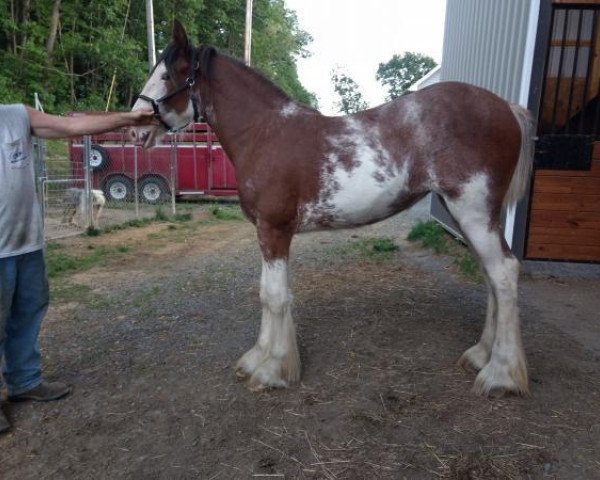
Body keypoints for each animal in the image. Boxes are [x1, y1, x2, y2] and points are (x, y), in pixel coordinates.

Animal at [130, 21, 536, 398]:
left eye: (167, 74)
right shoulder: (267, 232)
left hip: (473, 212)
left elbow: (274, 296)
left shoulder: (274, 230)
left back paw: (500, 374)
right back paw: (481, 355)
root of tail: (507, 107)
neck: (265, 133)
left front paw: (272, 370)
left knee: (503, 273)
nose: (135, 130)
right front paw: (258, 358)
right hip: (469, 215)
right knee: (491, 275)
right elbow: (266, 293)